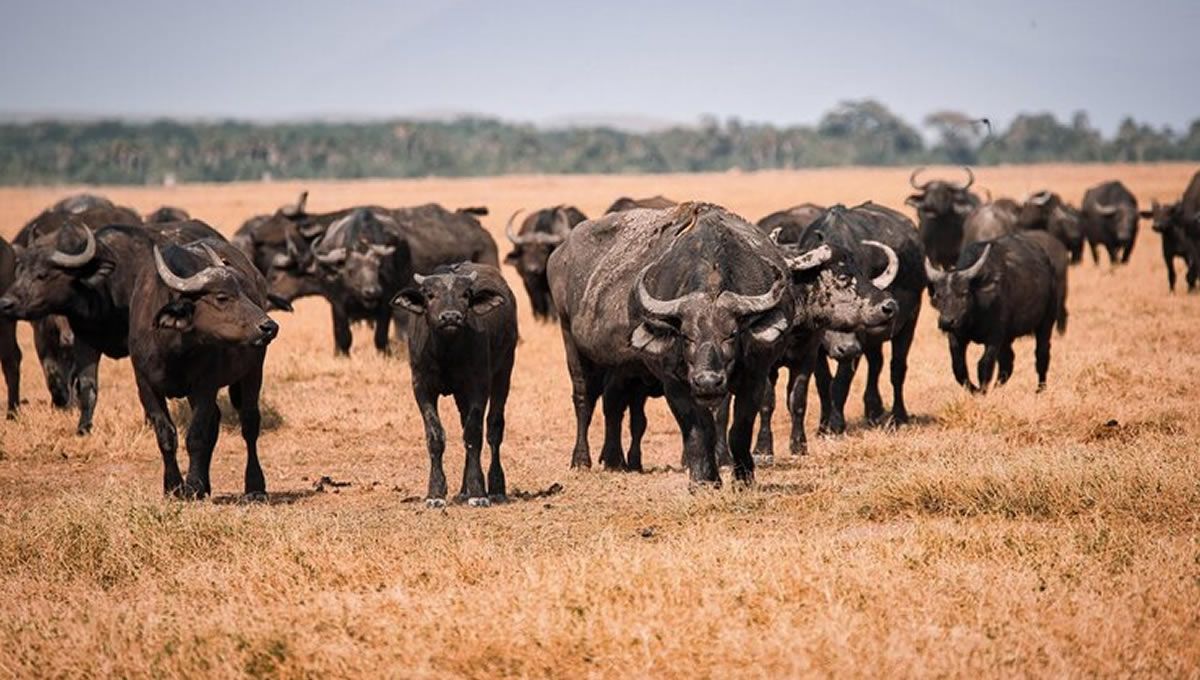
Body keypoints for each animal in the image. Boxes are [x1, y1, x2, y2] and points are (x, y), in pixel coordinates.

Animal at [393, 263, 516, 508]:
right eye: (430, 295)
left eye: (465, 294)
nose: (451, 317)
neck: (446, 353)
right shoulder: (422, 388)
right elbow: (435, 436)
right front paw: (435, 494)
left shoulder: (479, 386)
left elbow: (474, 435)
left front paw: (478, 492)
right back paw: (463, 490)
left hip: (504, 372)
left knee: (494, 427)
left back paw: (496, 488)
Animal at [926, 233, 1060, 393]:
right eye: (938, 295)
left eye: (964, 292)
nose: (946, 322)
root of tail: (1049, 265)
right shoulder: (956, 336)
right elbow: (959, 368)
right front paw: (975, 390)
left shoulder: (995, 337)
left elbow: (984, 365)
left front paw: (982, 391)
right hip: (1008, 338)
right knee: (1008, 361)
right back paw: (998, 388)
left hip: (1046, 323)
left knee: (1042, 354)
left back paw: (1040, 389)